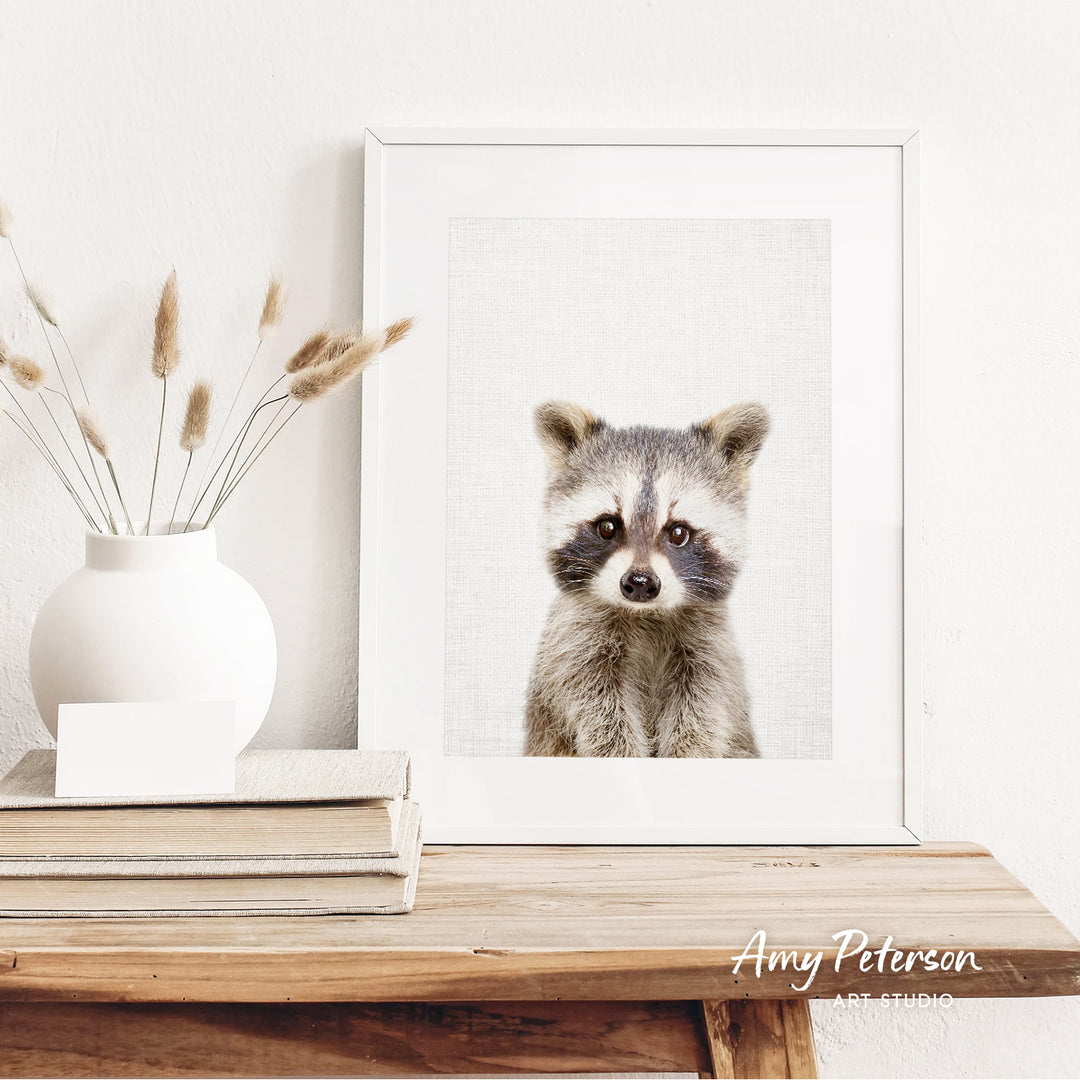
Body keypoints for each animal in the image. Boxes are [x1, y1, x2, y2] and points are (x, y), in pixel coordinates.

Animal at [524, 400, 770, 758]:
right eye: (607, 526)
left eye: (679, 532)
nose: (640, 583)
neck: (645, 614)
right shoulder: (575, 639)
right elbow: (595, 704)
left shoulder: (710, 645)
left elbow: (706, 703)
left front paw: (688, 751)